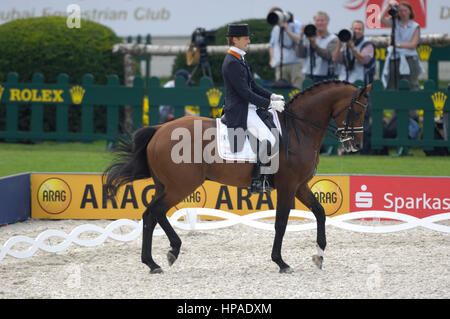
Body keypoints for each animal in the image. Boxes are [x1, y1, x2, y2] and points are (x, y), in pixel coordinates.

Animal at [103, 80, 370, 276]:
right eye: (358, 111)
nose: (356, 145)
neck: (299, 130)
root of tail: (159, 129)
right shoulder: (288, 186)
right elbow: (281, 223)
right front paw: (281, 262)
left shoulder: (300, 185)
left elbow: (320, 213)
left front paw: (319, 255)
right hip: (180, 186)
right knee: (153, 213)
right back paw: (158, 260)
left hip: (167, 186)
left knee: (154, 214)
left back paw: (162, 257)